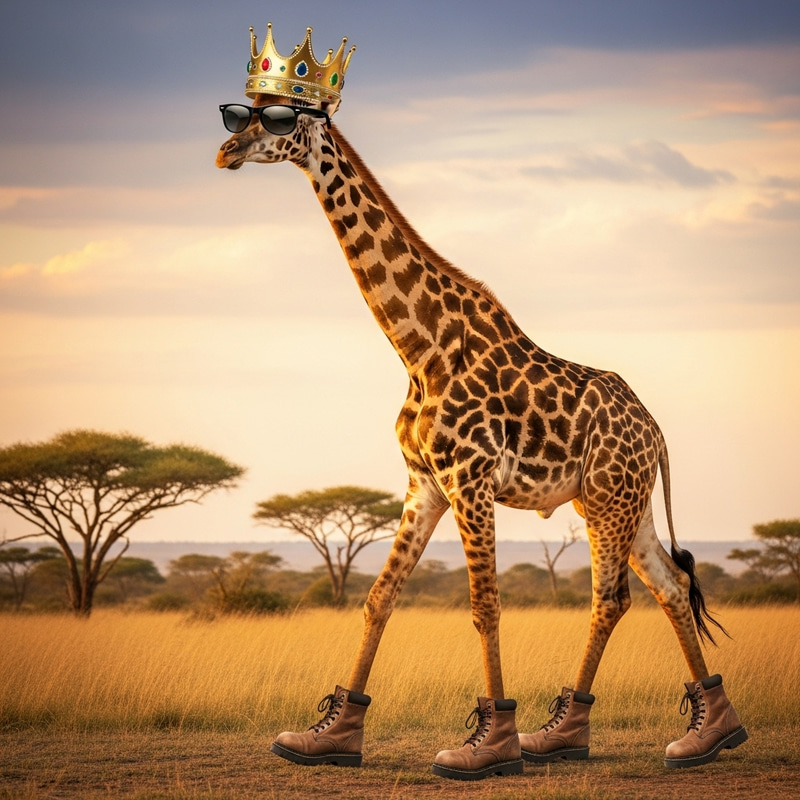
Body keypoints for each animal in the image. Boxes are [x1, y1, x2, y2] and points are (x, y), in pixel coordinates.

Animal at [215, 25, 747, 781]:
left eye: (283, 118)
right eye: (240, 112)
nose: (226, 150)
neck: (418, 346)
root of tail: (656, 430)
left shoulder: (471, 481)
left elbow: (485, 606)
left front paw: (489, 744)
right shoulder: (424, 484)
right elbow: (379, 598)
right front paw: (330, 735)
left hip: (609, 500)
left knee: (610, 596)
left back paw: (582, 733)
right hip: (621, 502)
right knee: (670, 587)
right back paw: (693, 734)